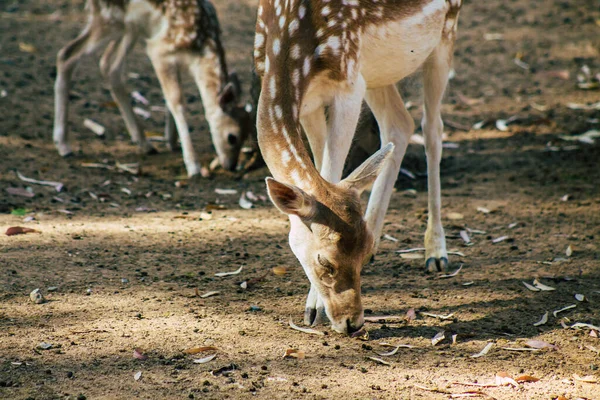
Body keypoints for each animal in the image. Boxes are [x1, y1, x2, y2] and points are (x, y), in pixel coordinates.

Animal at [54, 0, 253, 178]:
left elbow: (170, 98)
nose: (231, 166)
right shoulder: (160, 50)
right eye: (232, 137)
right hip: (109, 19)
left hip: (130, 27)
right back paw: (63, 144)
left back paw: (144, 143)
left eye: (247, 135)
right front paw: (193, 165)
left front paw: (171, 141)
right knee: (68, 55)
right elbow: (177, 101)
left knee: (109, 66)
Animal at [253, 0, 460, 334]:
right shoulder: (312, 99)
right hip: (376, 72)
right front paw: (312, 310)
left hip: (444, 36)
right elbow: (321, 170)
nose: (353, 323)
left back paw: (436, 253)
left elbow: (329, 170)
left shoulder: (347, 85)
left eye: (359, 252)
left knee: (432, 128)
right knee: (399, 123)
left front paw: (313, 308)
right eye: (325, 261)